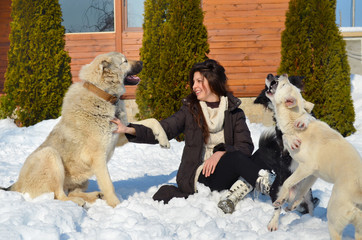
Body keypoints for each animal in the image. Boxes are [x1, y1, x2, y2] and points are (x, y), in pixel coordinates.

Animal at [252, 73, 320, 231]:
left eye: (278, 78)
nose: (270, 75)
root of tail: (291, 195)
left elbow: (307, 116)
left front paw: (303, 119)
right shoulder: (282, 147)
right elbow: (284, 136)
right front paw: (291, 139)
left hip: (307, 194)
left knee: (309, 207)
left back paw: (311, 221)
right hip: (277, 189)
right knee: (277, 208)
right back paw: (273, 224)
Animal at [266, 74, 362, 239]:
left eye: (284, 84)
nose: (282, 75)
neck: (292, 120)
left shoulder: (306, 167)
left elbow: (288, 183)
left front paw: (282, 199)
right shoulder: (312, 174)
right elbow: (301, 190)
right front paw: (291, 204)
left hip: (334, 220)